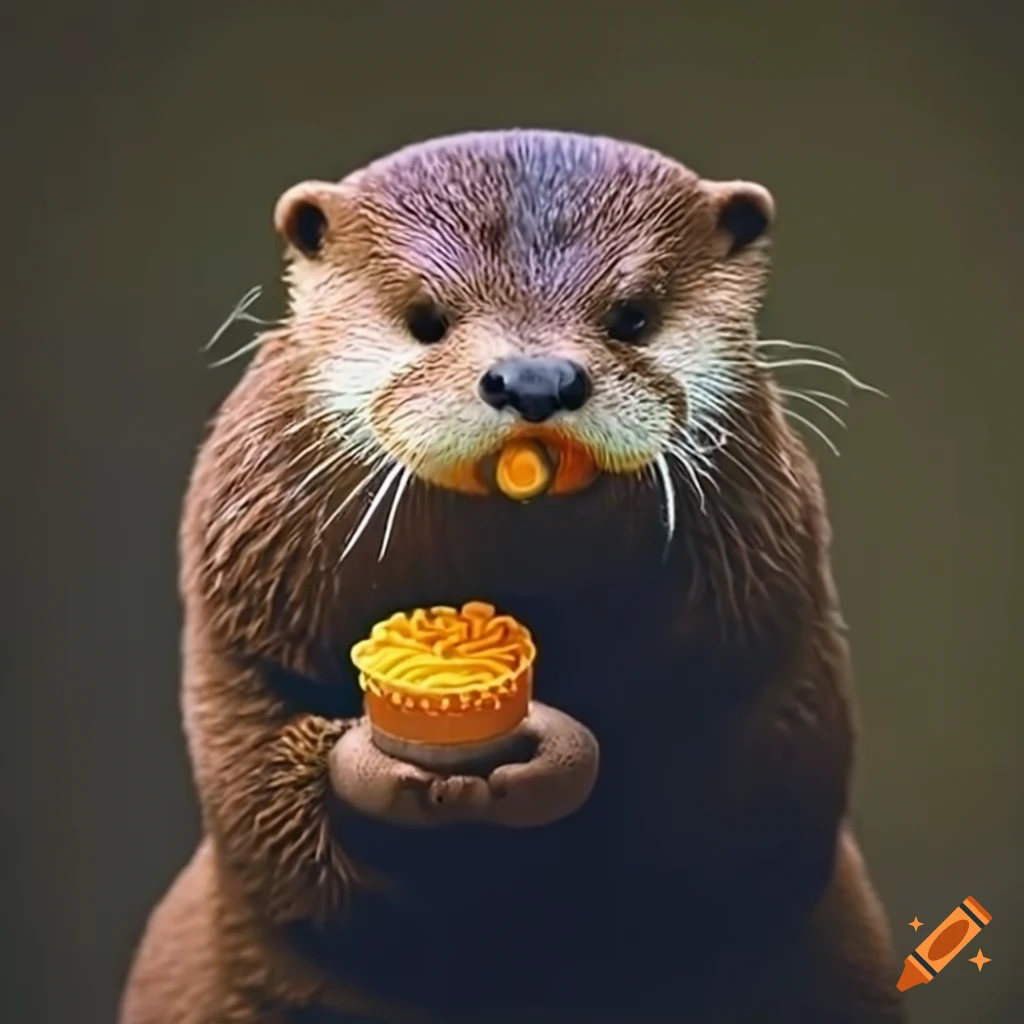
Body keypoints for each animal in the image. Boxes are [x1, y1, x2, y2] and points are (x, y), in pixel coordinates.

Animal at [120, 130, 905, 1024]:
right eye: (426, 320)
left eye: (632, 316)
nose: (535, 380)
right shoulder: (242, 615)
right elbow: (257, 789)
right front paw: (380, 769)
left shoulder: (769, 640)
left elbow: (736, 829)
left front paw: (554, 759)